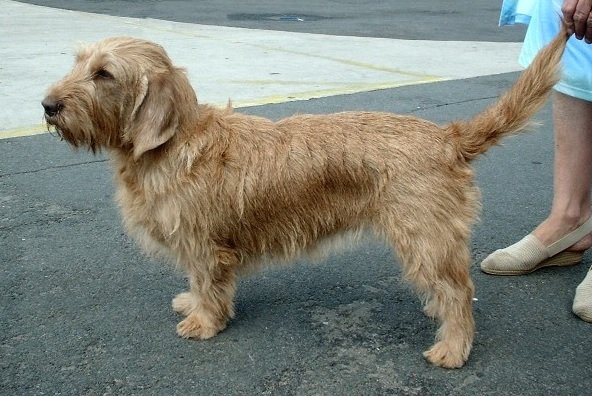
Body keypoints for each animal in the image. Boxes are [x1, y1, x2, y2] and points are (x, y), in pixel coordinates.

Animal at [41, 27, 568, 368]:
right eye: (77, 62)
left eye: (104, 74)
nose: (47, 105)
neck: (174, 143)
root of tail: (447, 137)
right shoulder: (197, 244)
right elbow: (197, 283)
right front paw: (191, 304)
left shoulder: (204, 244)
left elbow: (210, 284)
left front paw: (204, 322)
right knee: (452, 289)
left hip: (424, 240)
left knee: (459, 293)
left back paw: (452, 349)